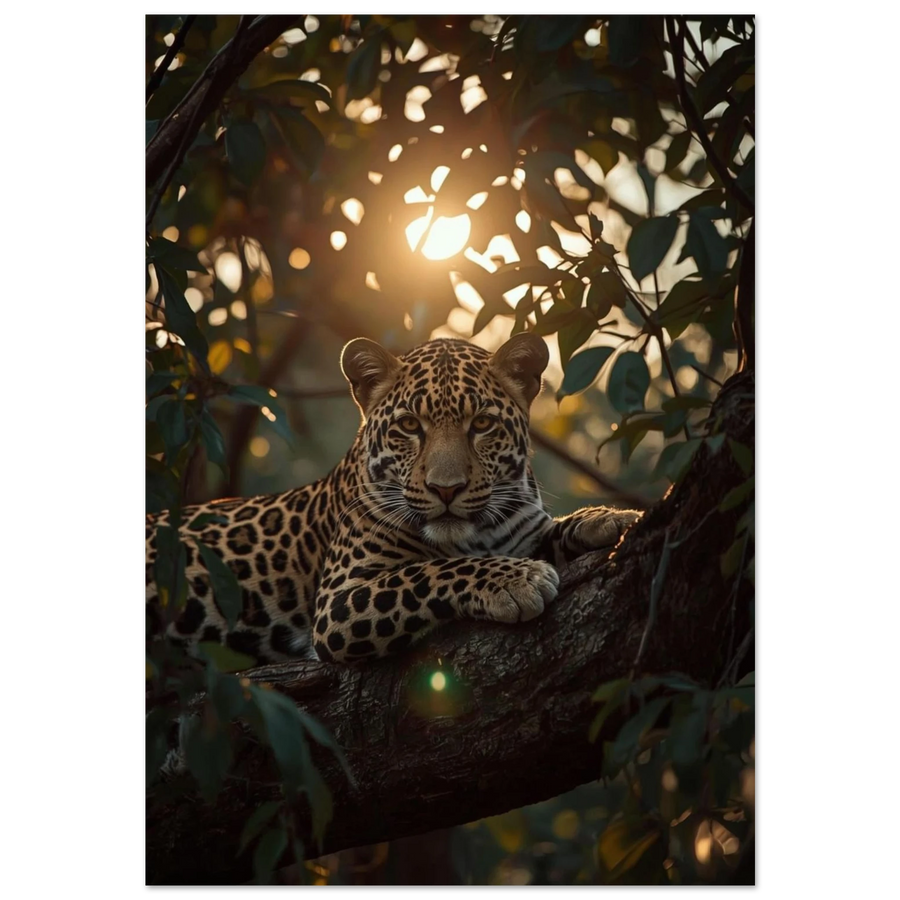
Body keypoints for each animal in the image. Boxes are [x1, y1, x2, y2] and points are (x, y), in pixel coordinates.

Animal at [144, 334, 641, 666]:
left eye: (481, 424)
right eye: (409, 426)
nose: (446, 488)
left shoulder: (524, 531)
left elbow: (552, 531)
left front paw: (611, 519)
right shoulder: (338, 603)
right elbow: (428, 572)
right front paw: (514, 580)